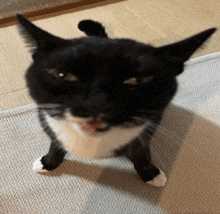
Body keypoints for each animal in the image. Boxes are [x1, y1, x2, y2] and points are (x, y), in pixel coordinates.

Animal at [16, 14, 216, 186]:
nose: (95, 104)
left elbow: (141, 152)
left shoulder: (143, 133)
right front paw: (48, 162)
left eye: (136, 80)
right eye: (63, 75)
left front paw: (150, 173)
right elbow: (55, 144)